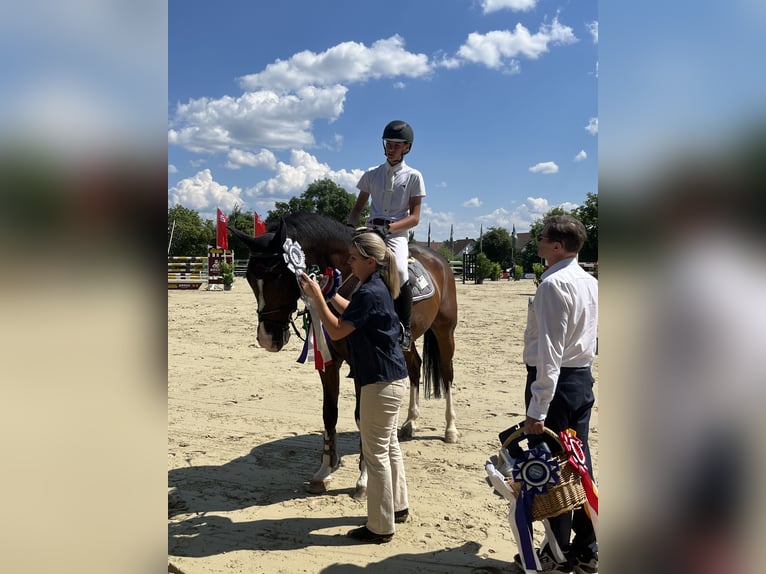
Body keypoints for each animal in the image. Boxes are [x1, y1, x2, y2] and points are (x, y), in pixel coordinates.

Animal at [228, 214, 456, 498]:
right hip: (407, 343)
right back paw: (409, 424)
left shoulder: (362, 366)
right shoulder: (329, 363)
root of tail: (438, 260)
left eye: (280, 274)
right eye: (249, 277)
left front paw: (364, 480)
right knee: (415, 368)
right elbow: (329, 413)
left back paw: (450, 429)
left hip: (445, 331)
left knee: (447, 374)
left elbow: (361, 416)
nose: (267, 338)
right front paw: (324, 472)